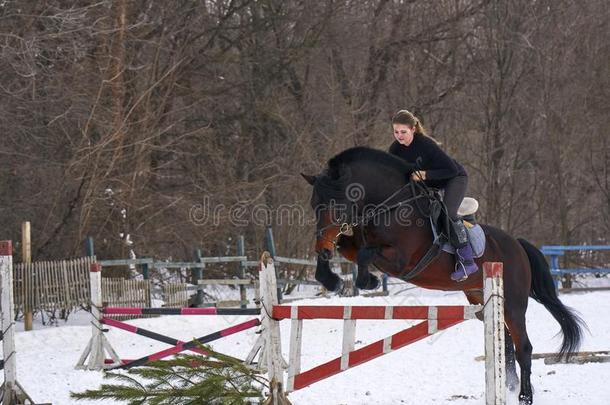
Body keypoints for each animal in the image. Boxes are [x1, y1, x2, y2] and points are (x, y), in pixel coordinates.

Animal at [302, 146, 580, 404]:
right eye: (315, 205)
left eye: (336, 205)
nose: (322, 245)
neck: (388, 206)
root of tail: (518, 245)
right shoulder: (354, 243)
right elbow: (345, 250)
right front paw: (331, 279)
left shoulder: (401, 260)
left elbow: (365, 255)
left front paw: (367, 280)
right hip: (482, 301)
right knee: (507, 343)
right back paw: (509, 388)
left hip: (513, 304)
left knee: (523, 348)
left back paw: (524, 396)